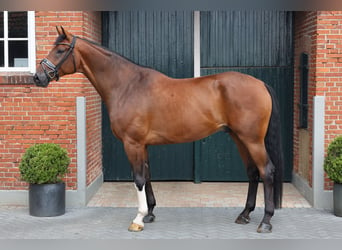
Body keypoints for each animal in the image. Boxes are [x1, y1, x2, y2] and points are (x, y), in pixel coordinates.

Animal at [33, 26, 284, 233]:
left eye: (60, 50)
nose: (38, 77)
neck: (127, 86)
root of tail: (260, 83)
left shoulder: (132, 143)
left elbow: (138, 179)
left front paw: (138, 219)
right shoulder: (142, 144)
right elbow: (147, 175)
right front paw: (150, 213)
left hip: (252, 140)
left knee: (267, 171)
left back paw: (266, 221)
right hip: (239, 138)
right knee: (252, 173)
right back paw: (244, 214)